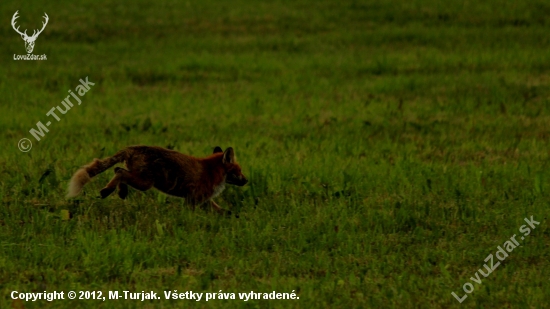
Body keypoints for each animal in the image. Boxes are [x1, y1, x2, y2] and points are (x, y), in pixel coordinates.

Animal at [68, 146, 249, 213]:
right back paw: (108, 190)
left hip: (141, 180)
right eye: (239, 170)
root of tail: (131, 148)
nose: (246, 181)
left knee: (118, 170)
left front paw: (232, 216)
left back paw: (120, 191)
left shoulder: (204, 200)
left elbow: (222, 211)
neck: (213, 171)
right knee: (120, 173)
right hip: (146, 184)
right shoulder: (194, 199)